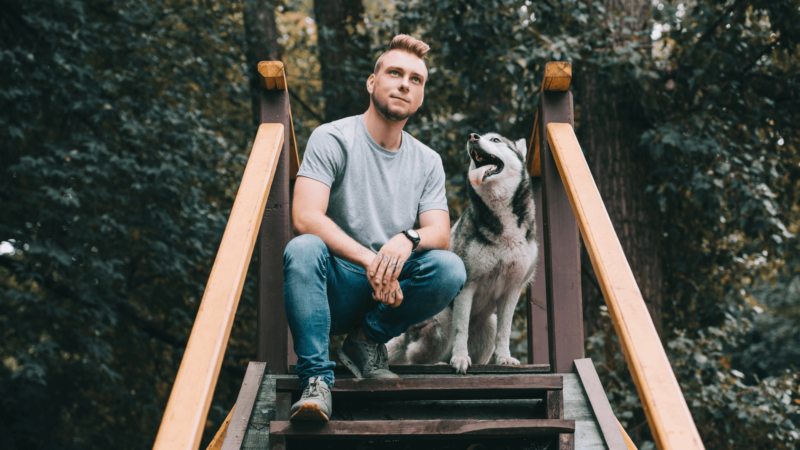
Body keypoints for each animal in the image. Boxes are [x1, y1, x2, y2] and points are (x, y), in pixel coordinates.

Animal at [386, 133, 540, 372]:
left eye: (495, 139)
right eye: (481, 136)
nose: (472, 137)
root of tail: (405, 332)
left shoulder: (513, 289)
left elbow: (505, 331)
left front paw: (504, 358)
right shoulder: (468, 286)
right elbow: (462, 329)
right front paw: (459, 358)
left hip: (489, 324)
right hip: (442, 323)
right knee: (415, 357)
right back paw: (441, 362)